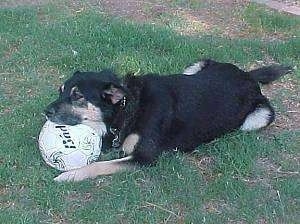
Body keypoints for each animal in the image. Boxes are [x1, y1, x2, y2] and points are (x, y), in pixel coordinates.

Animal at [45, 58, 292, 181]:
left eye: (77, 96)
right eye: (61, 91)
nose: (45, 112)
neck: (131, 106)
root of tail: (248, 75)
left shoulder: (145, 158)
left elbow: (99, 165)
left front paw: (69, 175)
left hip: (258, 118)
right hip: (196, 66)